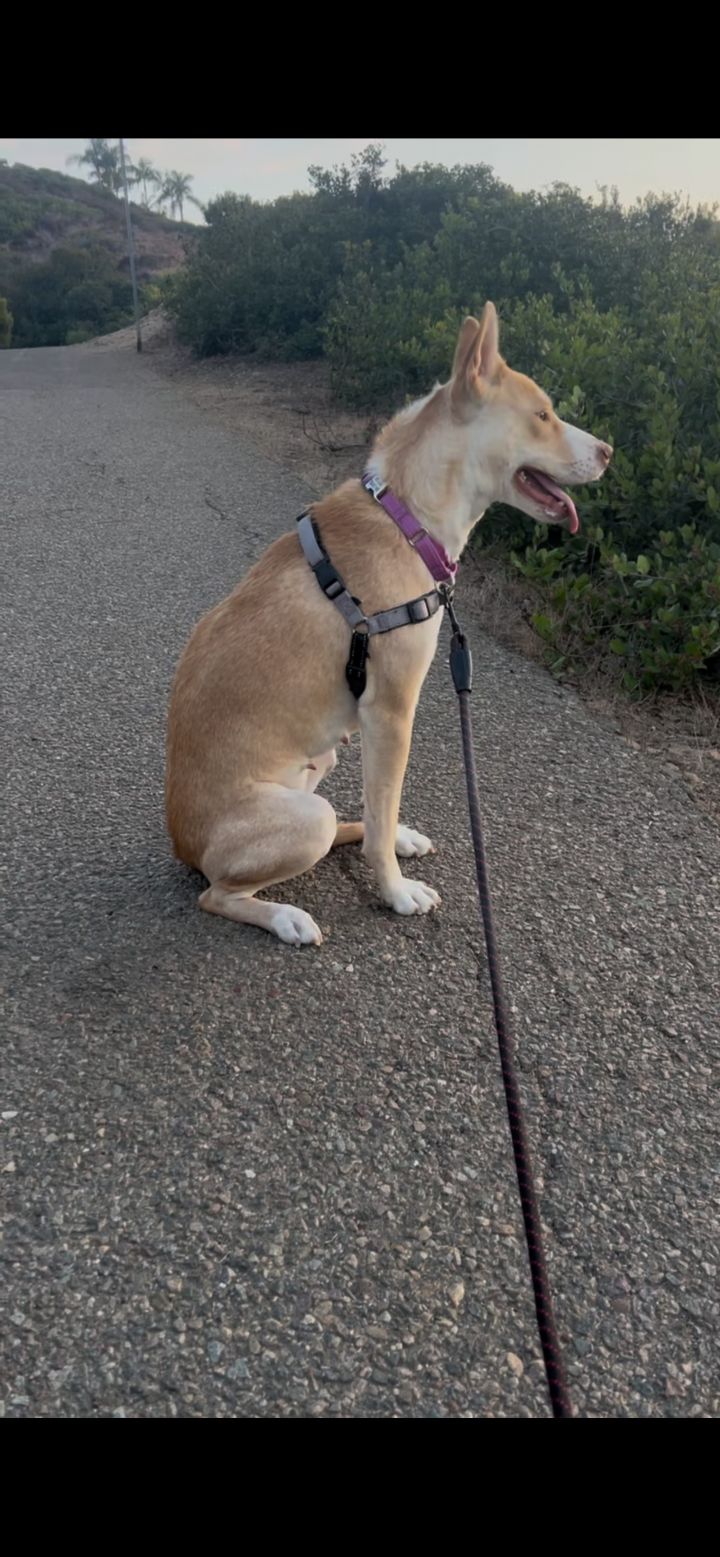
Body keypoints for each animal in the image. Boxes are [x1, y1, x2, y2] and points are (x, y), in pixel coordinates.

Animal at [165, 300, 610, 934]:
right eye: (543, 415)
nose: (609, 452)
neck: (405, 517)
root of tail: (185, 844)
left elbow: (379, 814)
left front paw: (393, 849)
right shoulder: (392, 712)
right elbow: (380, 813)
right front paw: (395, 893)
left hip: (323, 762)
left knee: (352, 823)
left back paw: (400, 838)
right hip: (302, 818)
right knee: (221, 892)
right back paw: (285, 917)